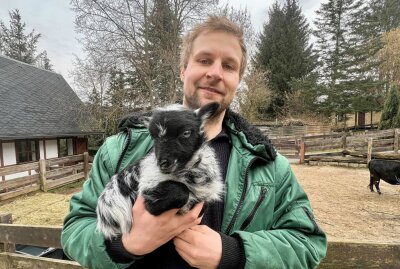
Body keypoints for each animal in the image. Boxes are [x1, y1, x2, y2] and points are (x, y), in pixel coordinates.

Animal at [95, 101, 223, 238]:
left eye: (186, 133)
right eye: (153, 137)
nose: (163, 163)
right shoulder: (147, 187)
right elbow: (181, 192)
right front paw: (154, 207)